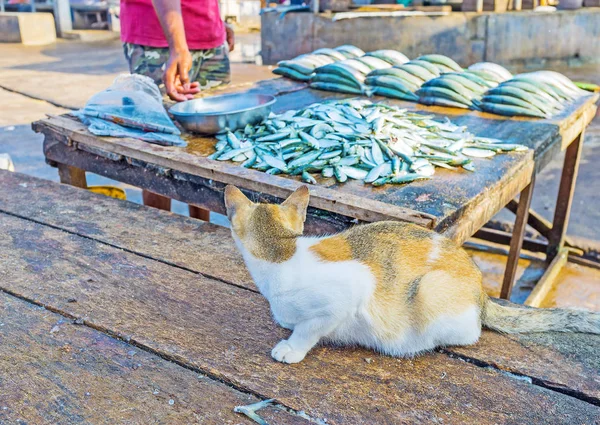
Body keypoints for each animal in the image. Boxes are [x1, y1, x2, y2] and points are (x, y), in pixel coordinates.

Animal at [225, 184, 600, 362]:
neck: (282, 253)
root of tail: (482, 292)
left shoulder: (349, 292)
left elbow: (309, 328)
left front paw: (291, 347)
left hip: (430, 291)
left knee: (469, 333)